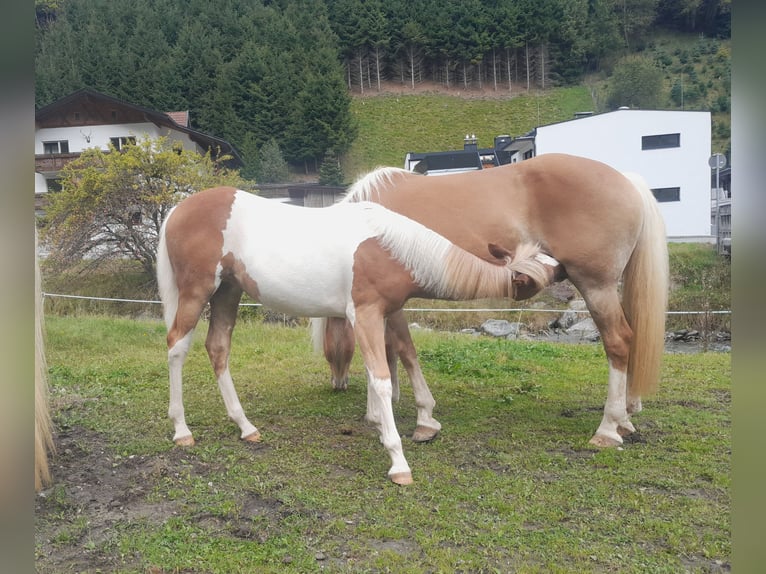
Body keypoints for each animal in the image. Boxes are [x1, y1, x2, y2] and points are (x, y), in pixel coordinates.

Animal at [156, 186, 556, 484]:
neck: (389, 246)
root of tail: (177, 209)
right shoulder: (365, 315)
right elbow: (381, 377)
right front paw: (397, 458)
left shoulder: (386, 314)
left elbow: (401, 357)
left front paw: (406, 421)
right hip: (197, 292)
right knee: (176, 347)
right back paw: (181, 430)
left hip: (228, 292)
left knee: (217, 348)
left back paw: (245, 426)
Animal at [314, 153, 669, 448]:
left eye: (329, 346)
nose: (337, 383)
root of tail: (625, 180)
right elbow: (388, 351)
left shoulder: (389, 302)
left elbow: (402, 350)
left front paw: (418, 418)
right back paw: (625, 418)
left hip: (596, 287)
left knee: (618, 341)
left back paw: (608, 428)